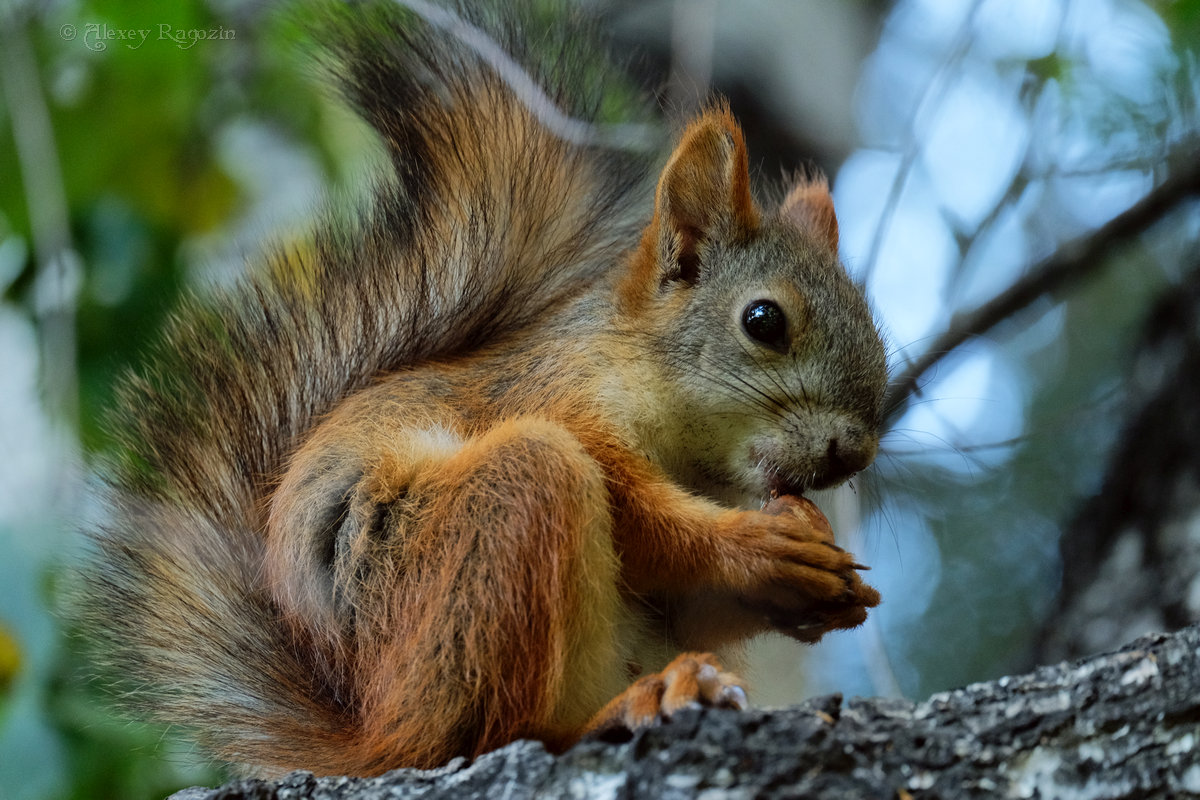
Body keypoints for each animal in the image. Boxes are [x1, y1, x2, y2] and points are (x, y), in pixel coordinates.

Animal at [82, 0, 892, 777]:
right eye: (763, 320)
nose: (852, 453)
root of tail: (376, 735)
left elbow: (690, 605)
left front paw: (827, 585)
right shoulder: (552, 399)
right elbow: (646, 523)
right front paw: (762, 549)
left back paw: (678, 685)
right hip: (490, 524)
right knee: (485, 734)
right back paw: (614, 713)